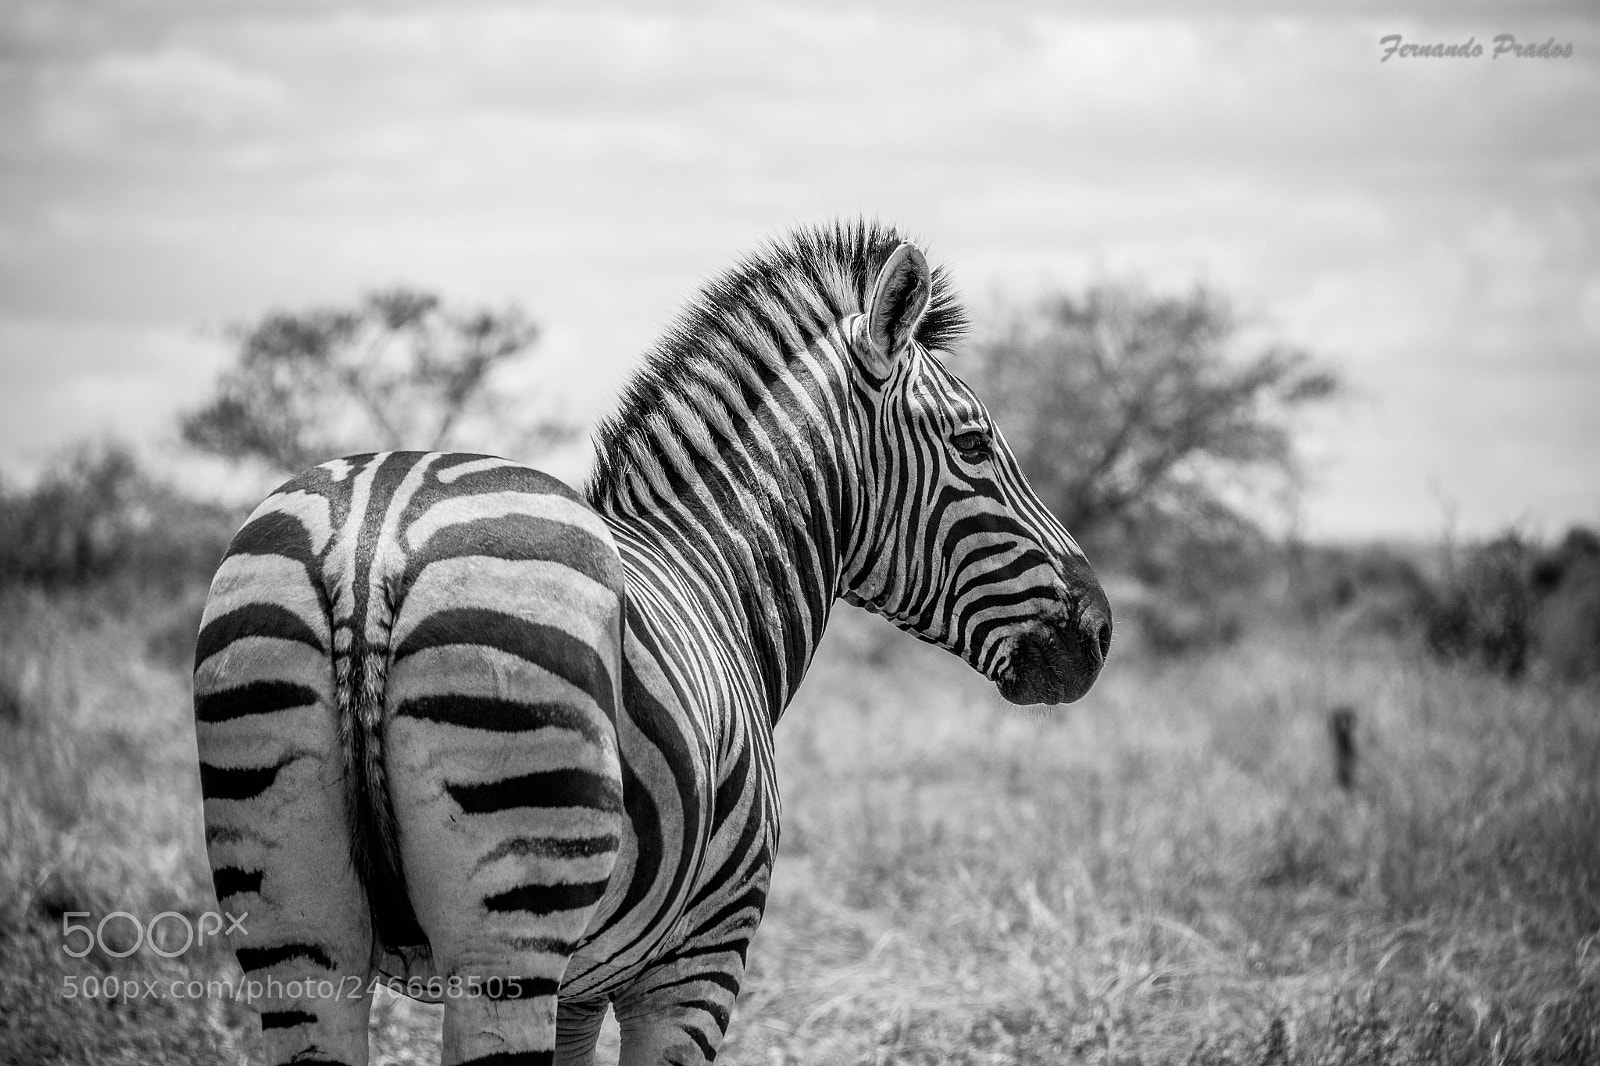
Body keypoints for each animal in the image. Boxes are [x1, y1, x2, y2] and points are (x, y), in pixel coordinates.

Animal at [194, 220, 1112, 1065]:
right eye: (974, 443)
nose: (1099, 632)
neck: (714, 570)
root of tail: (374, 534)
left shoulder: (582, 986)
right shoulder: (699, 961)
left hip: (295, 931)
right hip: (509, 930)